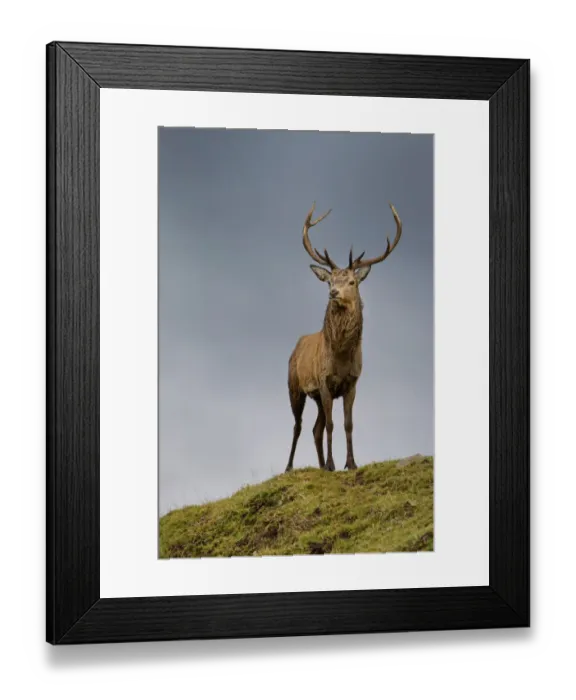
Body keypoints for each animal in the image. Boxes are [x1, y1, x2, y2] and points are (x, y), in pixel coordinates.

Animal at [285, 200, 403, 473]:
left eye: (351, 281)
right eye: (329, 281)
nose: (334, 293)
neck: (340, 356)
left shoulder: (352, 382)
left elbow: (347, 424)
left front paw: (350, 463)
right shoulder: (324, 380)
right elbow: (331, 425)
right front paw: (332, 463)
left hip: (316, 397)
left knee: (315, 429)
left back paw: (319, 466)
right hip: (294, 386)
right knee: (298, 426)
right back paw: (290, 466)